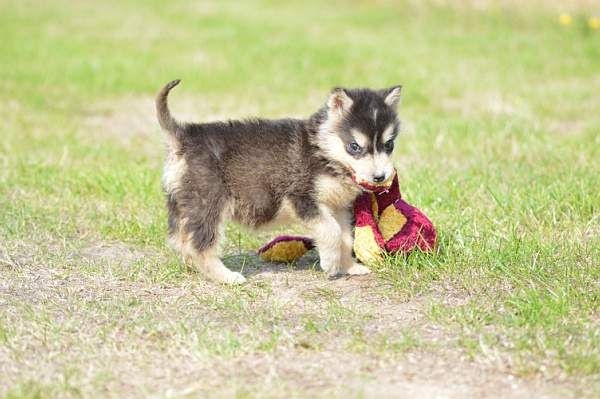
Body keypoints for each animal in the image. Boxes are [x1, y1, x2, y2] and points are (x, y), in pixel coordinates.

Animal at [157, 79, 400, 282]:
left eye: (389, 145)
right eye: (355, 146)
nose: (380, 177)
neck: (323, 152)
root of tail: (185, 136)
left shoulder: (339, 207)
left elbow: (346, 237)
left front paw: (349, 267)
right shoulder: (302, 198)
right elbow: (331, 231)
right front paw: (330, 263)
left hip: (182, 204)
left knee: (180, 240)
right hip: (209, 203)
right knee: (200, 245)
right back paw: (225, 276)